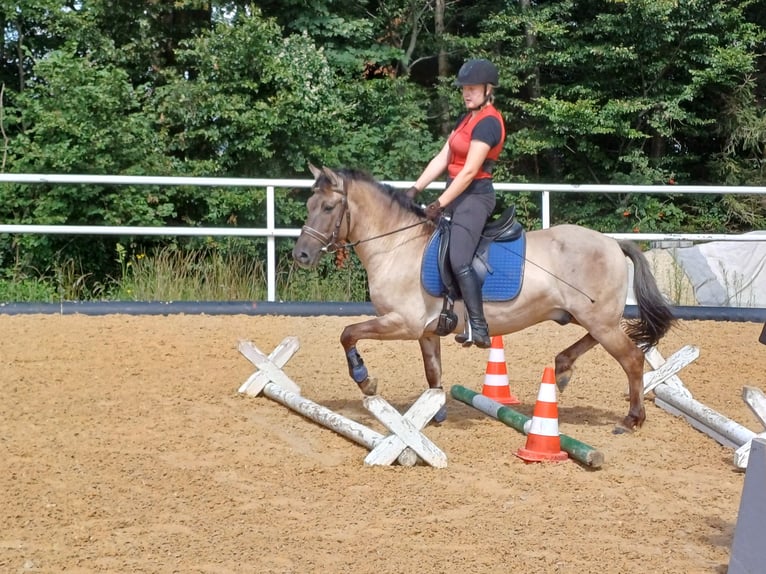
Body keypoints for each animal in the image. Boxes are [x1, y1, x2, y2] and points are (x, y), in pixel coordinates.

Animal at [292, 164, 676, 430]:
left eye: (328, 207)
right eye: (309, 204)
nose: (301, 256)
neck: (397, 245)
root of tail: (613, 242)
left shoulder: (402, 323)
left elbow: (348, 333)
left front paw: (365, 379)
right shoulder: (427, 331)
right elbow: (433, 373)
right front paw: (435, 412)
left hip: (600, 321)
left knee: (632, 359)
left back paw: (632, 419)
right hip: (591, 317)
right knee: (597, 343)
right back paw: (563, 368)